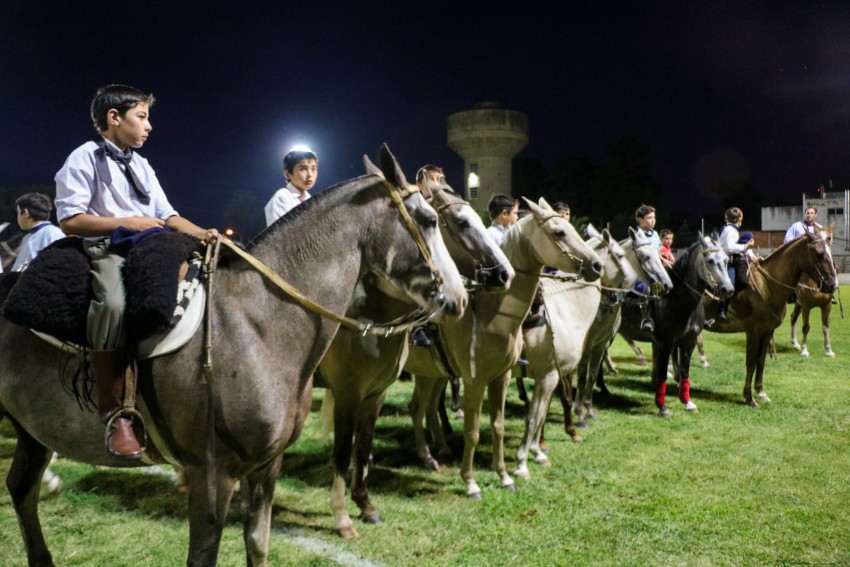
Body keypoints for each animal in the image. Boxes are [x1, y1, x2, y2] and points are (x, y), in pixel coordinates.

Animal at [0, 146, 470, 567]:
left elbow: (258, 544)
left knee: (21, 487)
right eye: (432, 219)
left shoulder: (267, 465)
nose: (460, 297)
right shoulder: (214, 477)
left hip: (33, 430)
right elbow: (204, 556)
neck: (256, 325)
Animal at [314, 171, 506, 540]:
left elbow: (363, 443)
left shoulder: (375, 391)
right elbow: (344, 449)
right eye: (462, 222)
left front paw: (365, 503)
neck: (365, 316)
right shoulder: (347, 393)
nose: (504, 274)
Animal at [616, 234, 736, 418]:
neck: (679, 300)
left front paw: (687, 402)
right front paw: (662, 407)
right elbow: (662, 374)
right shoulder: (665, 343)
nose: (728, 289)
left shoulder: (688, 342)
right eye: (709, 260)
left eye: (726, 259)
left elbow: (685, 372)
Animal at [704, 232, 836, 408]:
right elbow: (751, 362)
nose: (833, 284)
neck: (766, 285)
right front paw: (749, 398)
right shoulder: (753, 332)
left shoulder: (767, 332)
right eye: (819, 253)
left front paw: (761, 393)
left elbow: (761, 361)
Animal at [784, 224, 840, 358]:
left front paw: (829, 350)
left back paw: (795, 344)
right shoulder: (806, 305)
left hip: (798, 304)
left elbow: (825, 327)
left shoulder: (827, 305)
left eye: (829, 238)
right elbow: (806, 327)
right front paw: (804, 350)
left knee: (793, 317)